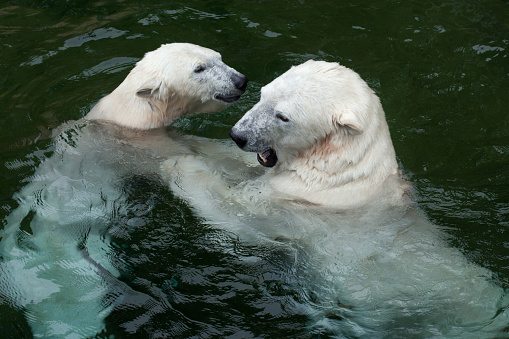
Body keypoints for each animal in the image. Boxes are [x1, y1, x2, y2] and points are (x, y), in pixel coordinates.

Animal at [164, 59, 508, 338]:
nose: (238, 134)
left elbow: (238, 216)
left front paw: (180, 164)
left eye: (283, 116)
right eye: (263, 94)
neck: (339, 169)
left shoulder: (298, 206)